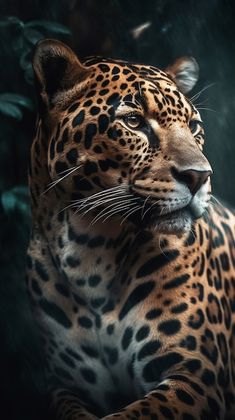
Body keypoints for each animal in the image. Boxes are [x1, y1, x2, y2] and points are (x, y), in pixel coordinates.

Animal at [26, 39, 235, 420]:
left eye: (194, 126)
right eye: (134, 121)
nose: (200, 176)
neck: (90, 251)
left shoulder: (197, 376)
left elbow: (135, 413)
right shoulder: (66, 385)